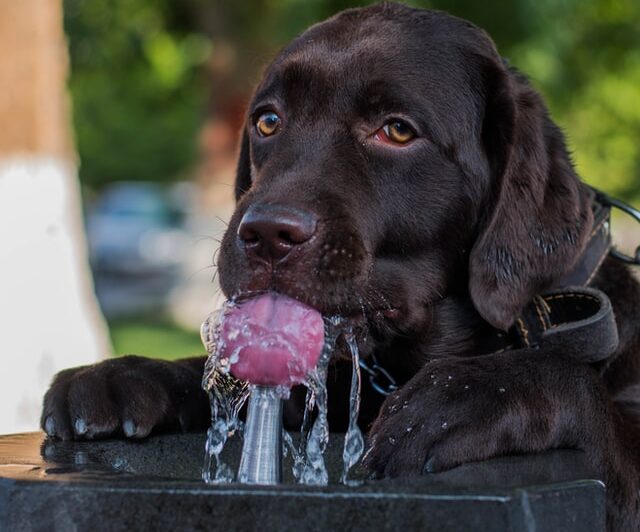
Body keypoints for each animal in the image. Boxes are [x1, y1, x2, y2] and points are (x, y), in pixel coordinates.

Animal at [42, 4, 640, 528]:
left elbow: (570, 382)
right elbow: (221, 374)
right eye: (268, 121)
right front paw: (124, 375)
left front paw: (463, 397)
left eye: (397, 130)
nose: (266, 234)